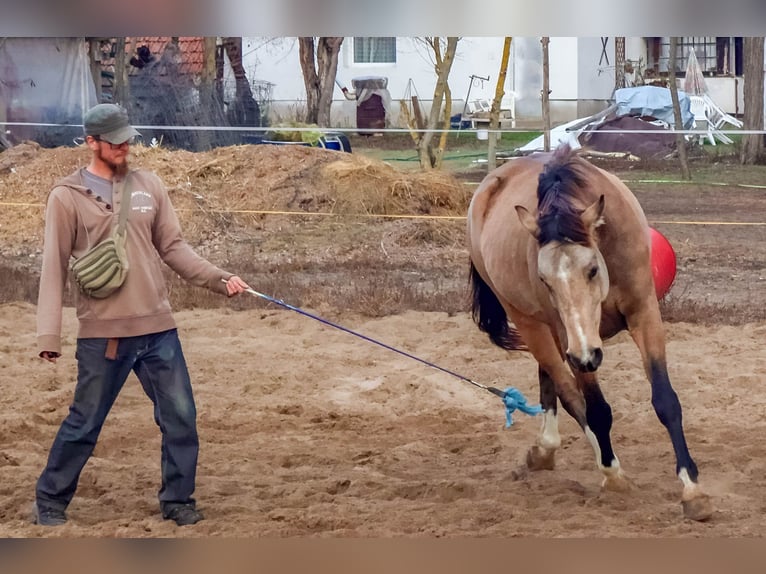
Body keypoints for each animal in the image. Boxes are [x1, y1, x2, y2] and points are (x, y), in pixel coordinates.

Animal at [467, 144, 712, 521]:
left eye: (592, 269)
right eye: (545, 280)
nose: (587, 355)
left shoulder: (645, 314)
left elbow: (666, 401)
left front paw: (692, 490)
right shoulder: (571, 339)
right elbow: (596, 409)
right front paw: (613, 475)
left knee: (550, 380)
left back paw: (547, 449)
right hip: (531, 323)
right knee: (569, 392)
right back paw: (596, 462)